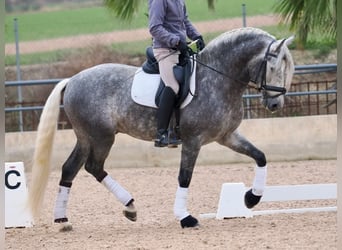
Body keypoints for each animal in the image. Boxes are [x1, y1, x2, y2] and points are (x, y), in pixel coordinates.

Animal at [28, 26, 294, 229]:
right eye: (273, 68)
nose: (275, 104)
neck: (218, 79)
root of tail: (72, 80)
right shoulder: (193, 140)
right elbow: (184, 176)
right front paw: (185, 217)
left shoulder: (227, 136)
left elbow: (260, 156)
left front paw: (251, 198)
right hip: (102, 136)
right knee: (93, 167)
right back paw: (129, 206)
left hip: (86, 137)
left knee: (70, 169)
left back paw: (63, 219)